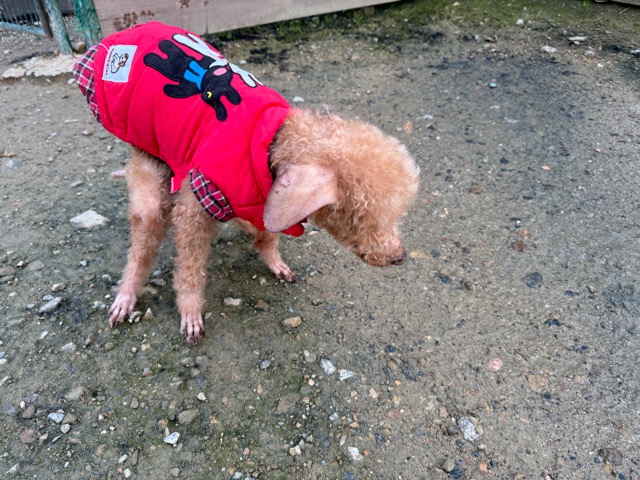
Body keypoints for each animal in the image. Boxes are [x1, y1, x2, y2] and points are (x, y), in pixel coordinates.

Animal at [73, 22, 419, 344]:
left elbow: (267, 234)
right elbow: (190, 268)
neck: (272, 143)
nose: (401, 257)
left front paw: (275, 262)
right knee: (143, 239)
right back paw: (126, 296)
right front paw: (190, 313)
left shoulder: (264, 197)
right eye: (362, 219)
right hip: (148, 160)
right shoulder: (198, 202)